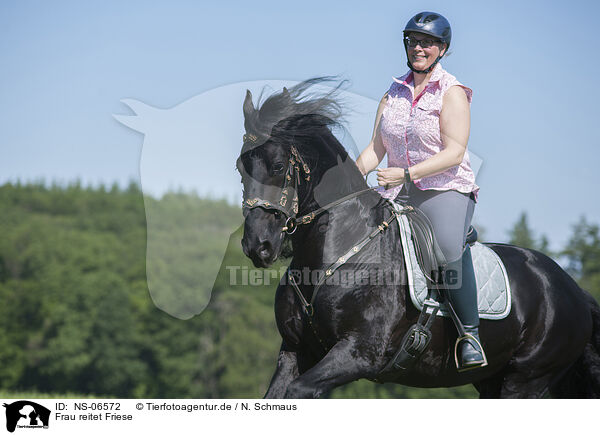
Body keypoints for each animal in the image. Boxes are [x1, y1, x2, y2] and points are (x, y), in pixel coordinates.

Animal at [238, 77, 600, 398]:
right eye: (241, 167)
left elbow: (298, 391)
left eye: (279, 165)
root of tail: (572, 289)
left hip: (526, 380)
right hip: (492, 382)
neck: (339, 251)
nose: (258, 245)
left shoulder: (357, 354)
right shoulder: (295, 351)